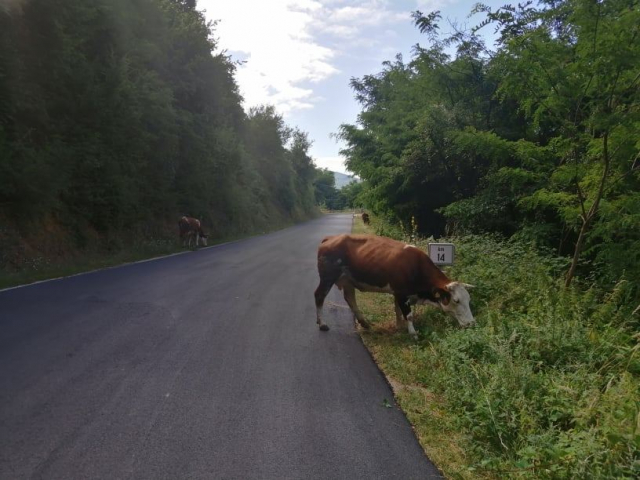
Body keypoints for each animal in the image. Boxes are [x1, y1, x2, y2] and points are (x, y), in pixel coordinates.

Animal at [312, 233, 472, 338]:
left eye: (469, 300)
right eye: (456, 300)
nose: (472, 323)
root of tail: (331, 238)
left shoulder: (398, 293)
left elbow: (398, 311)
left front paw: (399, 327)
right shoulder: (402, 293)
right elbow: (409, 315)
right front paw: (413, 333)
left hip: (347, 280)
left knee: (350, 298)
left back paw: (364, 323)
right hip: (327, 277)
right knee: (319, 296)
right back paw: (322, 323)